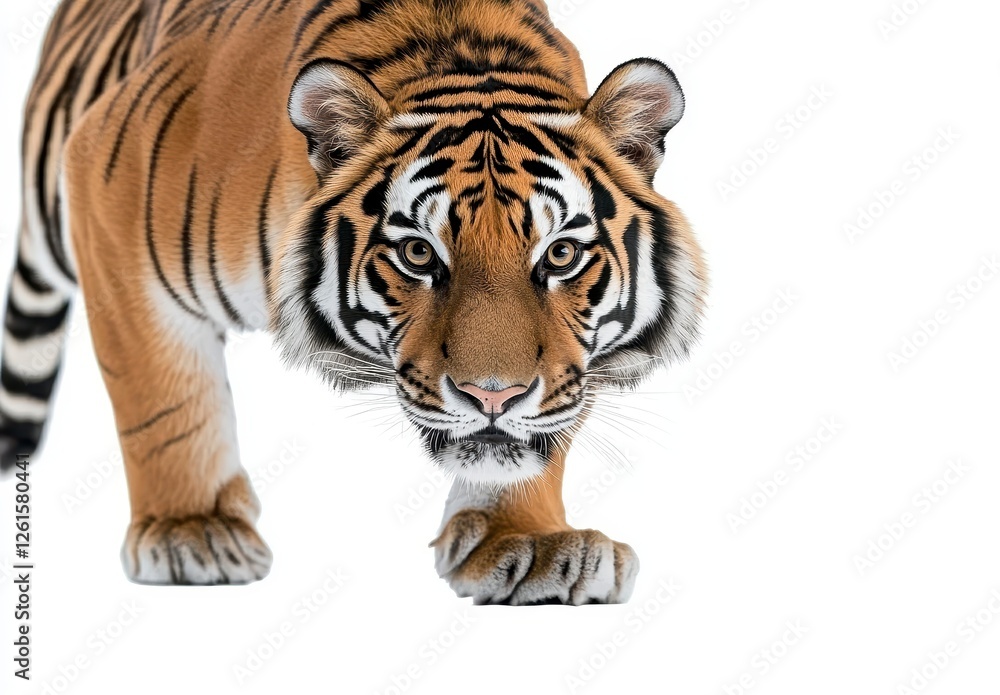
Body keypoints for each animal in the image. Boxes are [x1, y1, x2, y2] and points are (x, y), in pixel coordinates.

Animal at [1, 0, 707, 605]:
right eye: (418, 254)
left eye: (559, 256)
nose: (493, 396)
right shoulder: (106, 201)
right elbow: (167, 403)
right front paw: (190, 529)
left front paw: (527, 542)